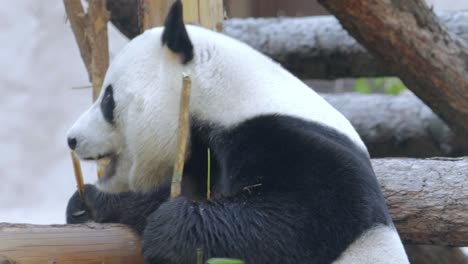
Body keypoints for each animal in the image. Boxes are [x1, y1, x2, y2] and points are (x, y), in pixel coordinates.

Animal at [66, 1, 410, 262]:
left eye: (108, 99)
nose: (71, 138)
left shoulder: (289, 140)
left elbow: (298, 220)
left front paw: (169, 229)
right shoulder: (200, 158)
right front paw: (89, 203)